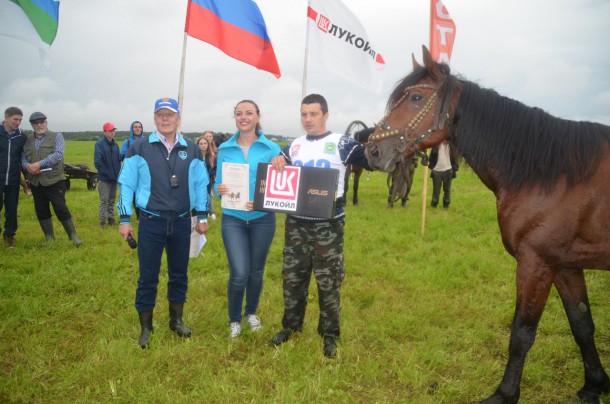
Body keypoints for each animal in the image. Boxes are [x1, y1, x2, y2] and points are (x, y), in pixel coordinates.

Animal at [364, 45, 604, 404]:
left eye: (416, 98)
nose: (372, 150)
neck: (550, 175)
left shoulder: (536, 264)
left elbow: (522, 333)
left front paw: (505, 394)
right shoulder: (565, 265)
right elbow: (582, 324)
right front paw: (594, 384)